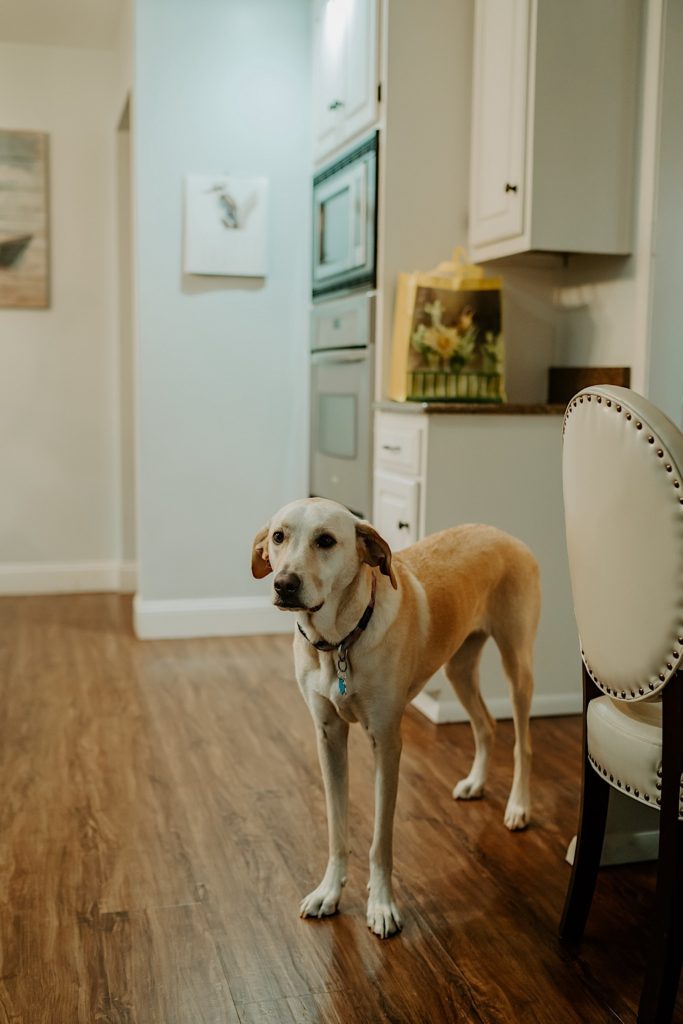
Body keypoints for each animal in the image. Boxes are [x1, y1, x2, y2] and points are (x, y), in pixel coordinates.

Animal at [250, 495, 540, 937]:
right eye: (279, 536)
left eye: (326, 540)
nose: (283, 584)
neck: (338, 642)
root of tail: (505, 535)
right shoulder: (328, 737)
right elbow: (336, 828)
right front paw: (329, 891)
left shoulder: (386, 742)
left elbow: (381, 840)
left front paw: (382, 904)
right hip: (458, 668)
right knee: (486, 725)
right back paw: (475, 782)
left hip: (516, 663)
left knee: (522, 742)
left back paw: (518, 806)